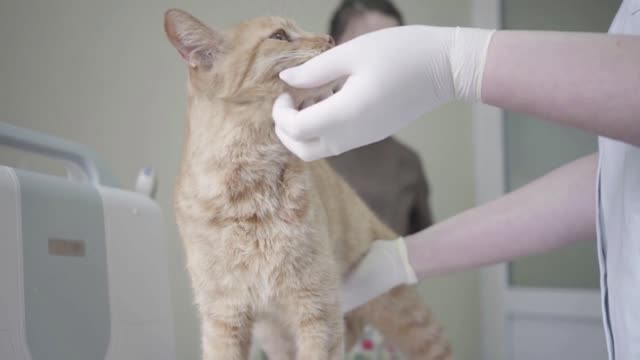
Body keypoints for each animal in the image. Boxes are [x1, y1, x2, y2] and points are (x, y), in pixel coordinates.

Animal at [165, 8, 452, 360]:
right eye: (279, 36)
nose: (328, 39)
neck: (249, 193)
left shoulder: (317, 308)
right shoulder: (224, 318)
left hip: (406, 315)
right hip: (276, 332)